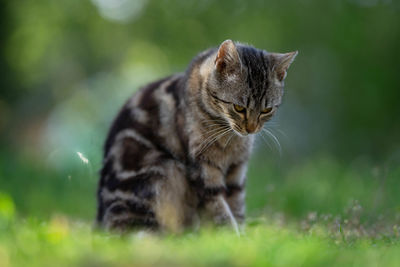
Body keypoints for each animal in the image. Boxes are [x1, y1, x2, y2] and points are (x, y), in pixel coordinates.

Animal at [96, 39, 296, 234]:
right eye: (239, 107)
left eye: (266, 110)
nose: (251, 129)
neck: (230, 139)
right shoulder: (202, 170)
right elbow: (220, 211)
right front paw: (232, 237)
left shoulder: (237, 170)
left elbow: (237, 207)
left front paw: (242, 236)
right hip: (163, 170)